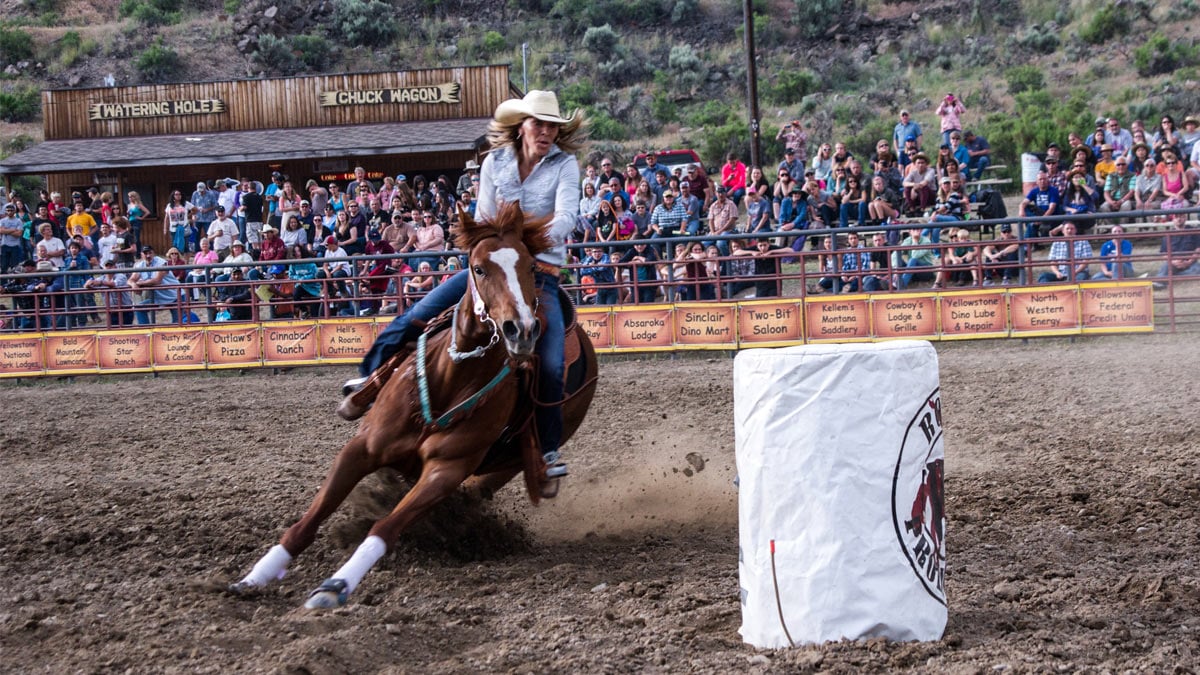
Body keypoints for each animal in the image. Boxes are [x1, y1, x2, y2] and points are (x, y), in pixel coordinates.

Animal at [228, 201, 595, 607]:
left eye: (531, 267)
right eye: (478, 267)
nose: (522, 330)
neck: (452, 378)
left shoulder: (446, 471)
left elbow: (385, 528)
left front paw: (335, 585)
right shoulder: (361, 448)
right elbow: (310, 518)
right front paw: (256, 576)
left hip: (511, 461)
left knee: (480, 489)